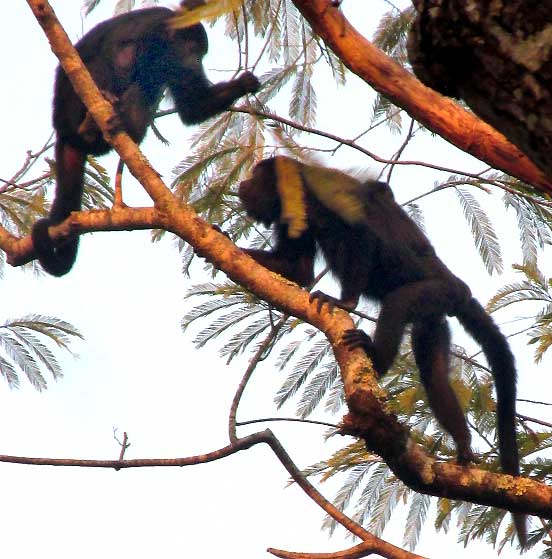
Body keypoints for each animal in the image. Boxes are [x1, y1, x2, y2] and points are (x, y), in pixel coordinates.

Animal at [31, 4, 260, 276]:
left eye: (200, 54)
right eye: (193, 50)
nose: (197, 63)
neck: (163, 43)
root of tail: (63, 131)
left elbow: (192, 106)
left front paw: (246, 83)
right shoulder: (149, 28)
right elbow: (120, 57)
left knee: (144, 91)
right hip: (70, 105)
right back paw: (93, 121)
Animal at [237, 155, 528, 536]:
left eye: (255, 175)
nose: (242, 184)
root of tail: (460, 290)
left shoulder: (322, 191)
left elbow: (362, 237)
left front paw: (345, 301)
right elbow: (296, 268)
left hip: (436, 290)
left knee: (396, 303)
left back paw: (376, 358)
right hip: (434, 314)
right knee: (433, 375)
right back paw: (463, 442)